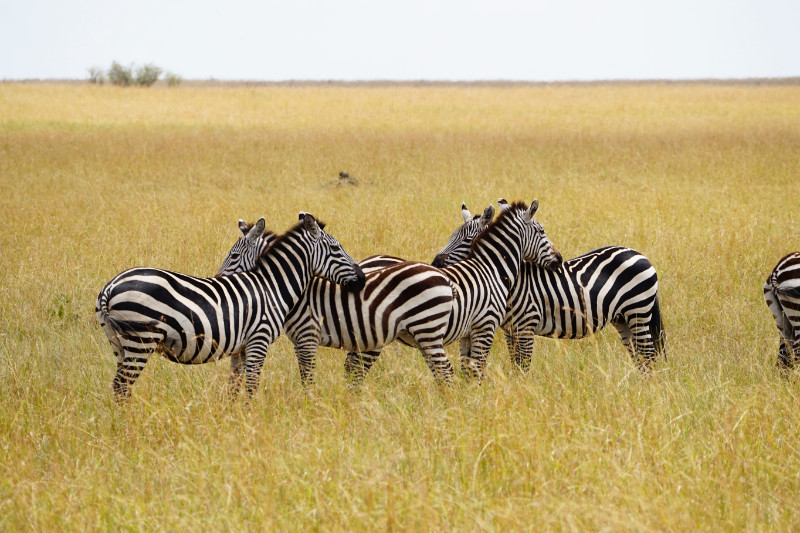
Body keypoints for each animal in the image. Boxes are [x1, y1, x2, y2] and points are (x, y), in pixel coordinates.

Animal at [95, 213, 365, 401]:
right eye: (336, 249)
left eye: (233, 256)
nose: (362, 278)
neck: (271, 286)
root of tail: (110, 287)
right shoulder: (259, 340)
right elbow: (252, 385)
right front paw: (250, 419)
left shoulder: (241, 348)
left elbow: (234, 386)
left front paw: (234, 419)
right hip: (141, 340)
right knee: (122, 386)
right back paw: (128, 428)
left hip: (118, 342)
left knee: (119, 386)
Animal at [216, 222, 457, 386]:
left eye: (234, 256)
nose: (217, 278)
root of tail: (444, 277)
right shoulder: (299, 341)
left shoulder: (308, 335)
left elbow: (307, 377)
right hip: (421, 333)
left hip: (423, 328)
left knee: (444, 371)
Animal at [433, 199, 666, 371]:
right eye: (451, 236)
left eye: (466, 240)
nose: (435, 263)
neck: (513, 282)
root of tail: (638, 253)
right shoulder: (510, 330)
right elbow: (514, 366)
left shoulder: (525, 327)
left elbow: (522, 368)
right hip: (622, 318)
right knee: (639, 357)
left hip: (638, 312)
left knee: (648, 355)